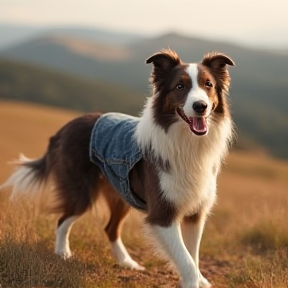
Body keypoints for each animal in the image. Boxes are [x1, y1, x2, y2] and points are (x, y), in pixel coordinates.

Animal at [1, 50, 235, 288]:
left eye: (208, 85)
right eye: (180, 86)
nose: (200, 106)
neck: (187, 141)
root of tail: (63, 129)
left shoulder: (196, 212)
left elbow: (192, 255)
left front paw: (199, 280)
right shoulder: (162, 214)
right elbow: (186, 260)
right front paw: (192, 281)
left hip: (121, 194)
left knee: (110, 228)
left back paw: (127, 263)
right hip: (81, 192)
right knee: (63, 220)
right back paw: (63, 253)